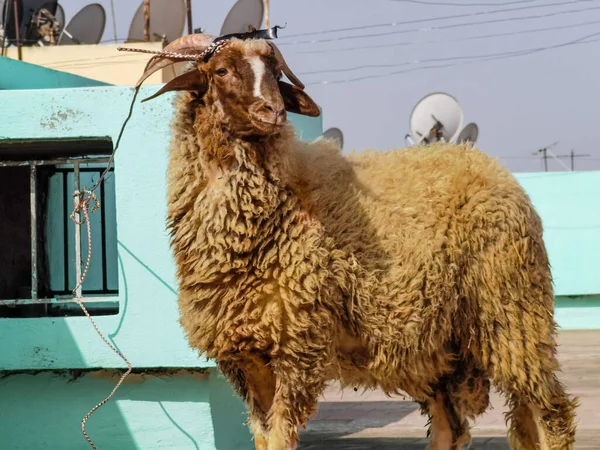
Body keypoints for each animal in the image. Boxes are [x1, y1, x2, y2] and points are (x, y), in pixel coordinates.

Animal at [132, 29, 576, 448]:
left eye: (275, 74)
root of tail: (489, 165)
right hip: (431, 344)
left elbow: (279, 438)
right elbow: (261, 437)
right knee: (451, 428)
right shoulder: (245, 356)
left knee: (550, 413)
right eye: (221, 70)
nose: (273, 112)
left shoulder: (299, 345)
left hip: (512, 310)